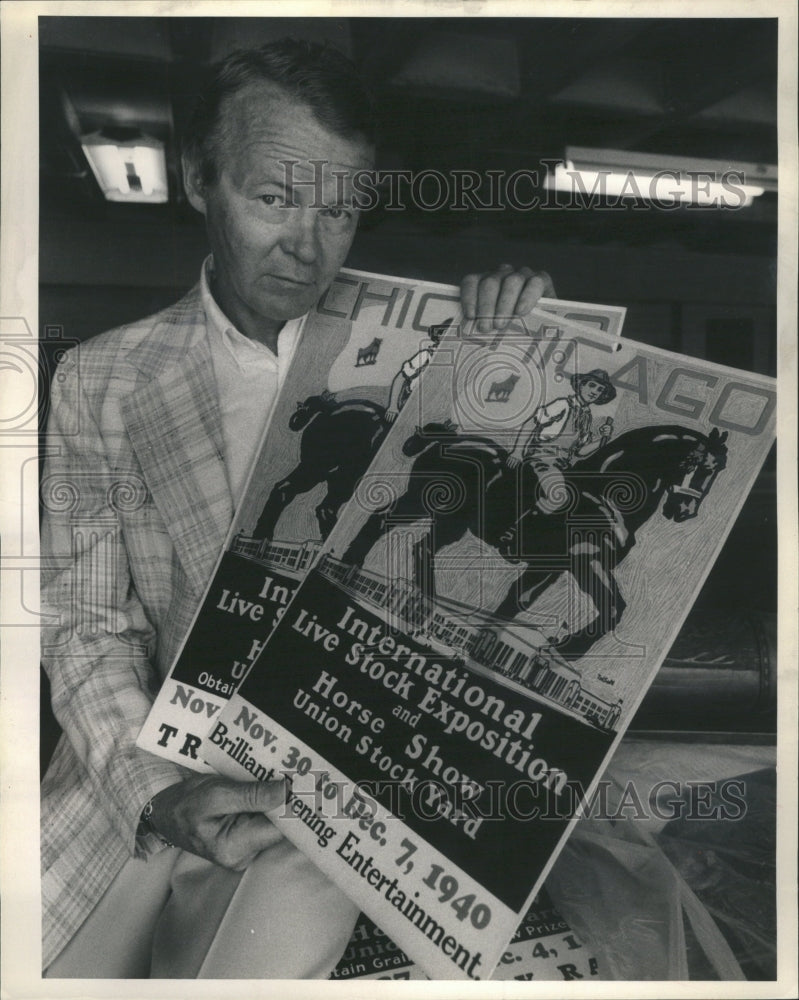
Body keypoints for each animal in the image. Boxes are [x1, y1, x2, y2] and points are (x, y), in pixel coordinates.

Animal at [255, 394, 390, 544]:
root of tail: (329, 409)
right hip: (345, 474)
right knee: (325, 508)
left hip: (314, 469)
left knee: (283, 489)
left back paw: (261, 536)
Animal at [340, 422, 728, 656]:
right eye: (698, 464)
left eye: (718, 470)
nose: (685, 510)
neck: (605, 494)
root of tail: (450, 440)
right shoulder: (579, 560)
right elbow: (531, 600)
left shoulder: (562, 565)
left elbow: (528, 601)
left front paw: (554, 648)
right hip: (432, 508)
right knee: (392, 530)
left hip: (444, 518)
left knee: (406, 538)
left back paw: (400, 592)